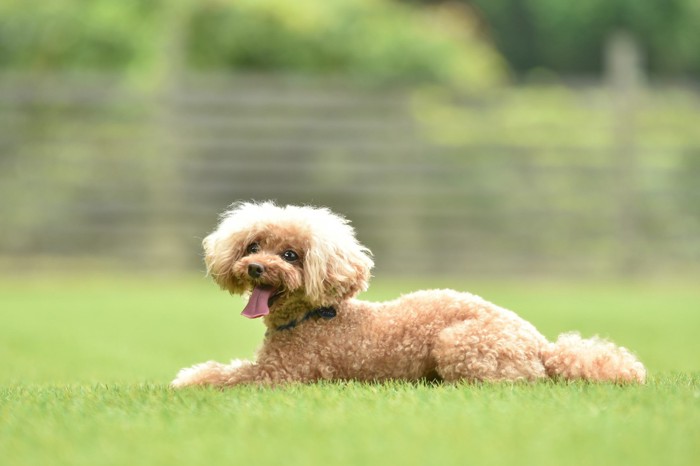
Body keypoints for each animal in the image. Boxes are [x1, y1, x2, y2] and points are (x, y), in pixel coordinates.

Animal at [170, 200, 644, 386]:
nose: (255, 267)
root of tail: (542, 345)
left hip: (458, 343)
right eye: (253, 246)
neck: (316, 316)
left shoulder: (280, 377)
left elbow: (227, 377)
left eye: (290, 255)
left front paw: (189, 381)